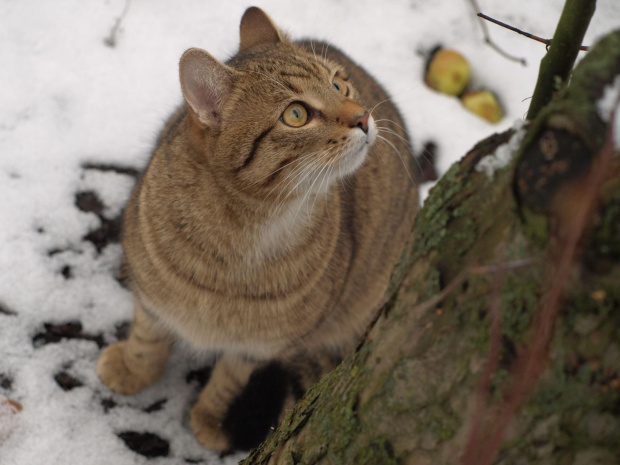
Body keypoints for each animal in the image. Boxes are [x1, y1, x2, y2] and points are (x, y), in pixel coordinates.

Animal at [97, 6, 418, 450]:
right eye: (296, 114)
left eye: (339, 83)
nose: (364, 117)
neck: (246, 229)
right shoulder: (149, 293)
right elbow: (147, 338)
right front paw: (132, 370)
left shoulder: (260, 346)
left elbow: (228, 381)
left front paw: (209, 419)